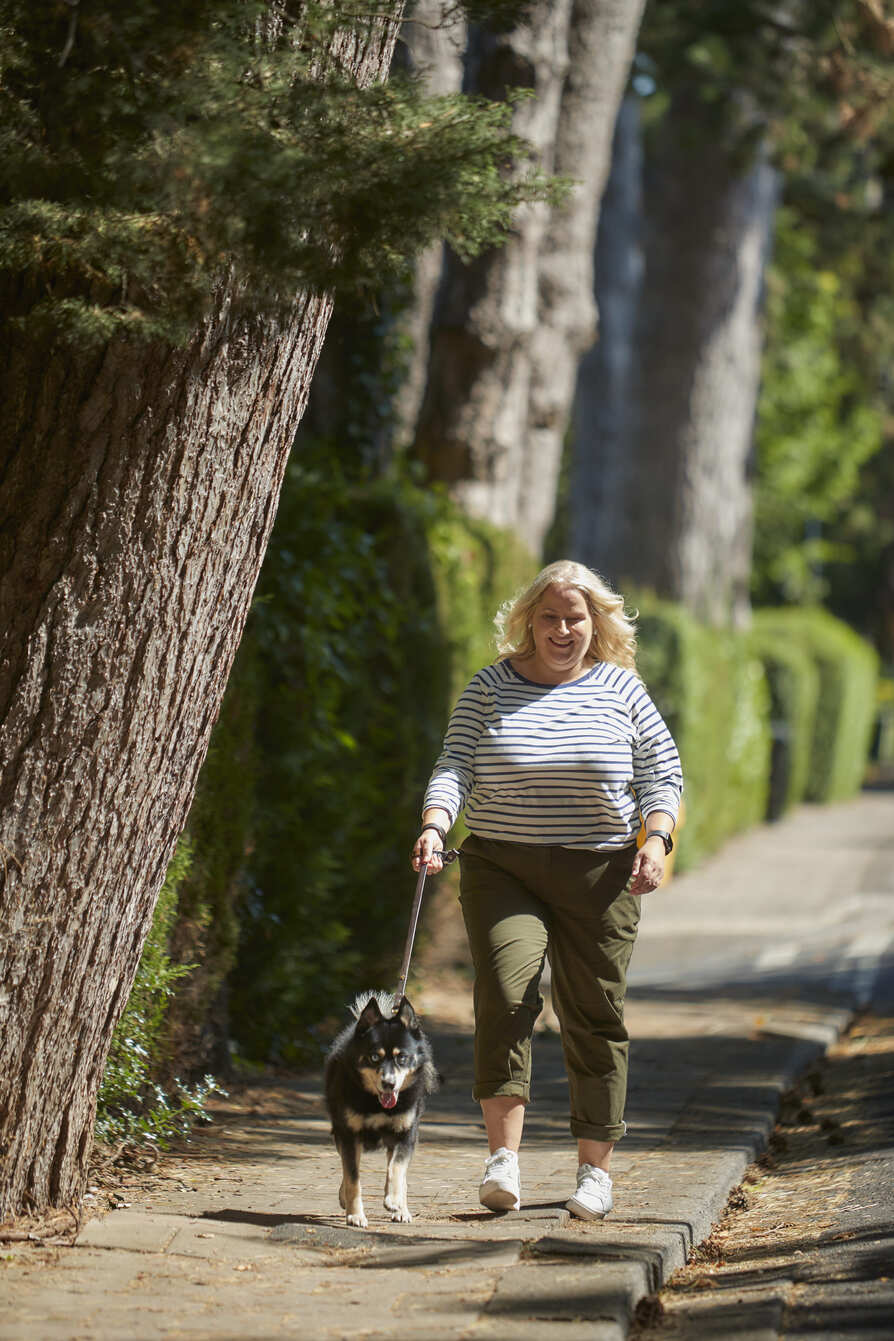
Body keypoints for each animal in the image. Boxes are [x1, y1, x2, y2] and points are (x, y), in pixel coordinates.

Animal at [328, 992, 439, 1228]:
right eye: (374, 1057)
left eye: (402, 1057)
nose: (389, 1083)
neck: (376, 1103)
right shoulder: (349, 1134)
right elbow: (352, 1178)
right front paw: (355, 1214)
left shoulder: (405, 1135)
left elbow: (397, 1169)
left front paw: (395, 1200)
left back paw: (401, 1208)